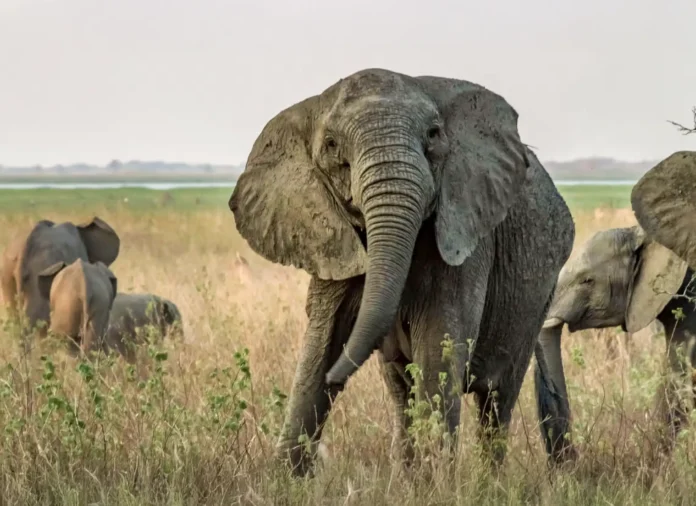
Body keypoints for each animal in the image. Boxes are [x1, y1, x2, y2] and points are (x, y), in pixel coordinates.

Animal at [228, 68, 575, 475]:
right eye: (331, 144)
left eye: (434, 135)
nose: (336, 376)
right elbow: (322, 338)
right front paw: (285, 479)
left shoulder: (464, 229)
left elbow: (439, 341)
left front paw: (436, 480)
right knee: (401, 390)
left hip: (539, 293)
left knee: (496, 398)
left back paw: (489, 481)